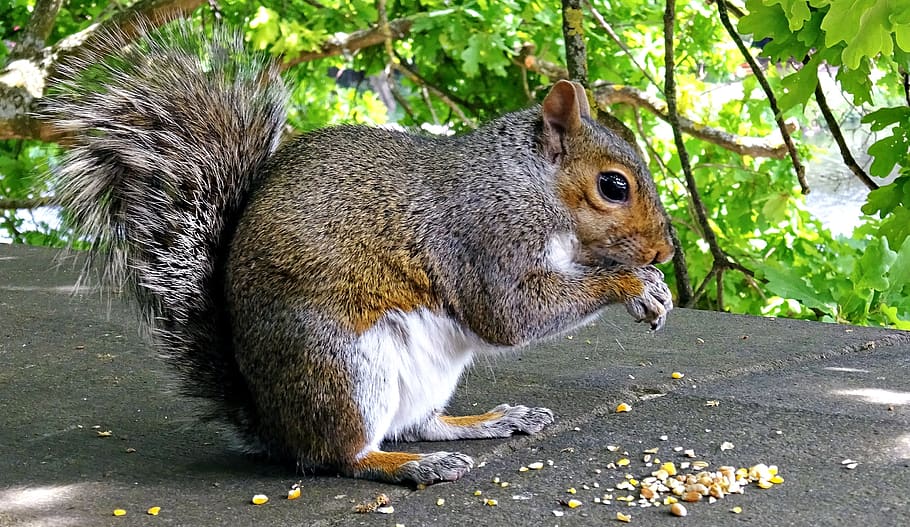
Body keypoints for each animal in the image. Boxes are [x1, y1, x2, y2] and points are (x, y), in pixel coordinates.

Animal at [44, 20, 675, 485]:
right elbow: (512, 314)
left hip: (420, 378)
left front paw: (651, 284)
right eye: (613, 186)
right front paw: (634, 284)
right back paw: (408, 466)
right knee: (340, 455)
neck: (527, 184)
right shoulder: (484, 239)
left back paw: (489, 422)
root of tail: (270, 422)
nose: (666, 250)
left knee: (417, 424)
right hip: (344, 365)